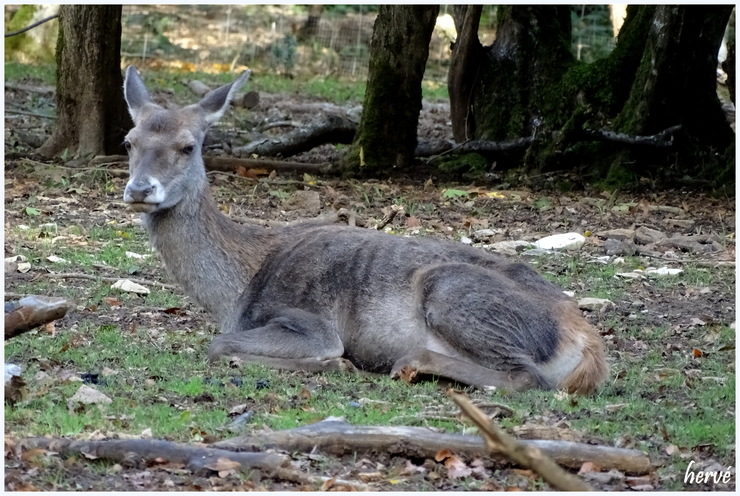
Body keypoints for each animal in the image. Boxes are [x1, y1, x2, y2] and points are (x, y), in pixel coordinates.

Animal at [120, 67, 608, 396]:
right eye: (129, 142)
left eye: (189, 146)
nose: (140, 189)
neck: (236, 290)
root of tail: (588, 345)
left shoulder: (309, 321)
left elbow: (219, 345)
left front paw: (339, 366)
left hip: (458, 294)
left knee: (528, 376)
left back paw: (408, 363)